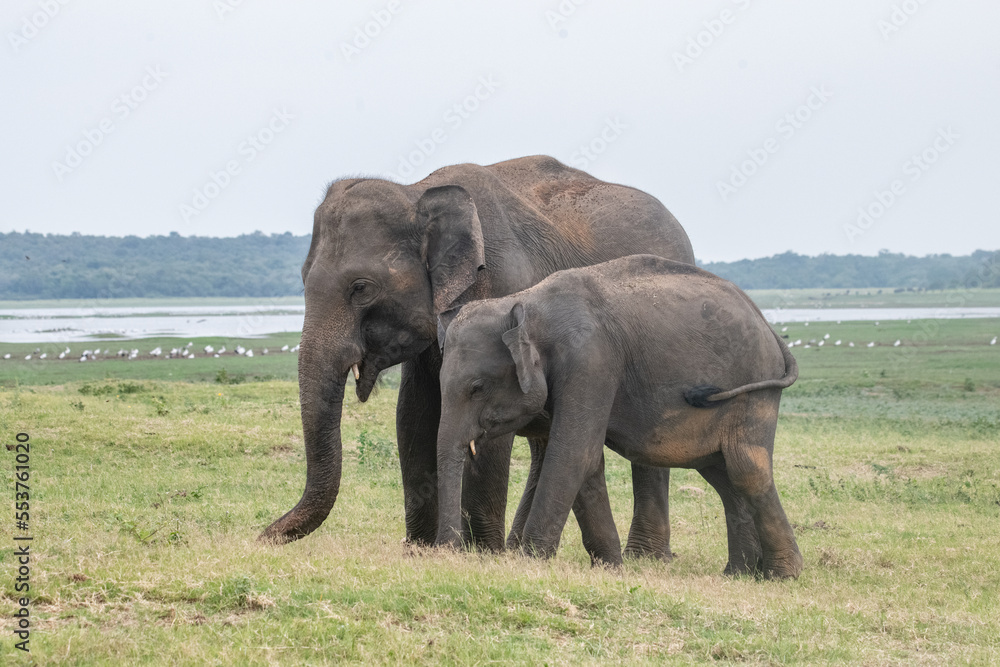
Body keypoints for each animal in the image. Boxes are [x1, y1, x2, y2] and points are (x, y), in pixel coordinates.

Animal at [259, 155, 707, 562]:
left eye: (361, 288)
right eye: (302, 280)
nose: (262, 535)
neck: (417, 191)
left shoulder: (503, 284)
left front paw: (482, 554)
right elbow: (414, 414)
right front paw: (420, 550)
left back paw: (645, 557)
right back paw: (518, 547)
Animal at [434, 254, 803, 578]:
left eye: (477, 388)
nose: (449, 555)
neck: (524, 302)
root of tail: (769, 327)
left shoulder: (591, 362)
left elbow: (572, 455)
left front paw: (531, 564)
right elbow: (587, 464)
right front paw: (611, 568)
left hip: (754, 389)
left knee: (746, 469)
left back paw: (782, 575)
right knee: (720, 473)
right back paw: (738, 574)